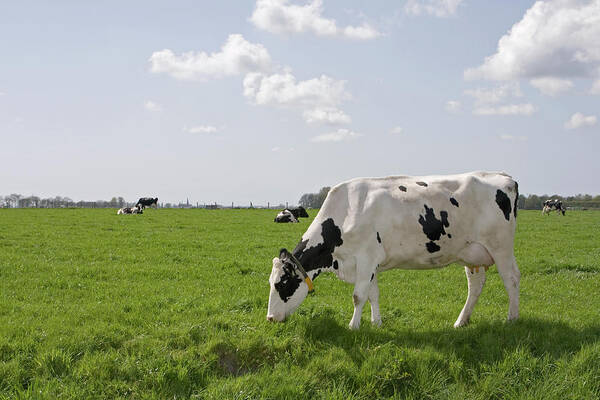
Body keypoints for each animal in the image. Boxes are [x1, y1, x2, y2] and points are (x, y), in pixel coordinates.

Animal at [268, 170, 520, 330]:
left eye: (282, 283)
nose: (270, 318)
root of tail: (504, 177)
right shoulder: (370, 264)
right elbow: (373, 295)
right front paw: (376, 323)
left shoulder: (365, 259)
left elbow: (358, 296)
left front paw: (353, 326)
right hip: (472, 253)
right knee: (475, 285)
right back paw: (461, 322)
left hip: (501, 247)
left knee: (511, 279)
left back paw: (512, 319)